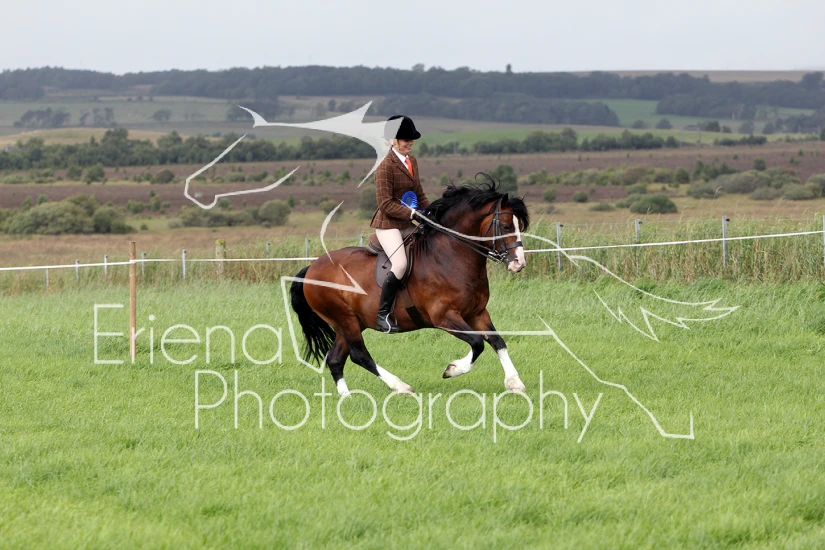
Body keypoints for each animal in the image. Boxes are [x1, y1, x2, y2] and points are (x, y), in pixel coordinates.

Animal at [289, 181, 530, 396]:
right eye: (506, 226)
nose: (519, 263)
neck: (451, 256)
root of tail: (312, 267)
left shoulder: (477, 312)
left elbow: (497, 341)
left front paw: (514, 382)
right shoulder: (444, 317)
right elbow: (478, 343)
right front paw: (452, 370)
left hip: (351, 322)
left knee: (336, 359)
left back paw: (347, 397)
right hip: (344, 319)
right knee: (359, 355)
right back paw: (400, 387)